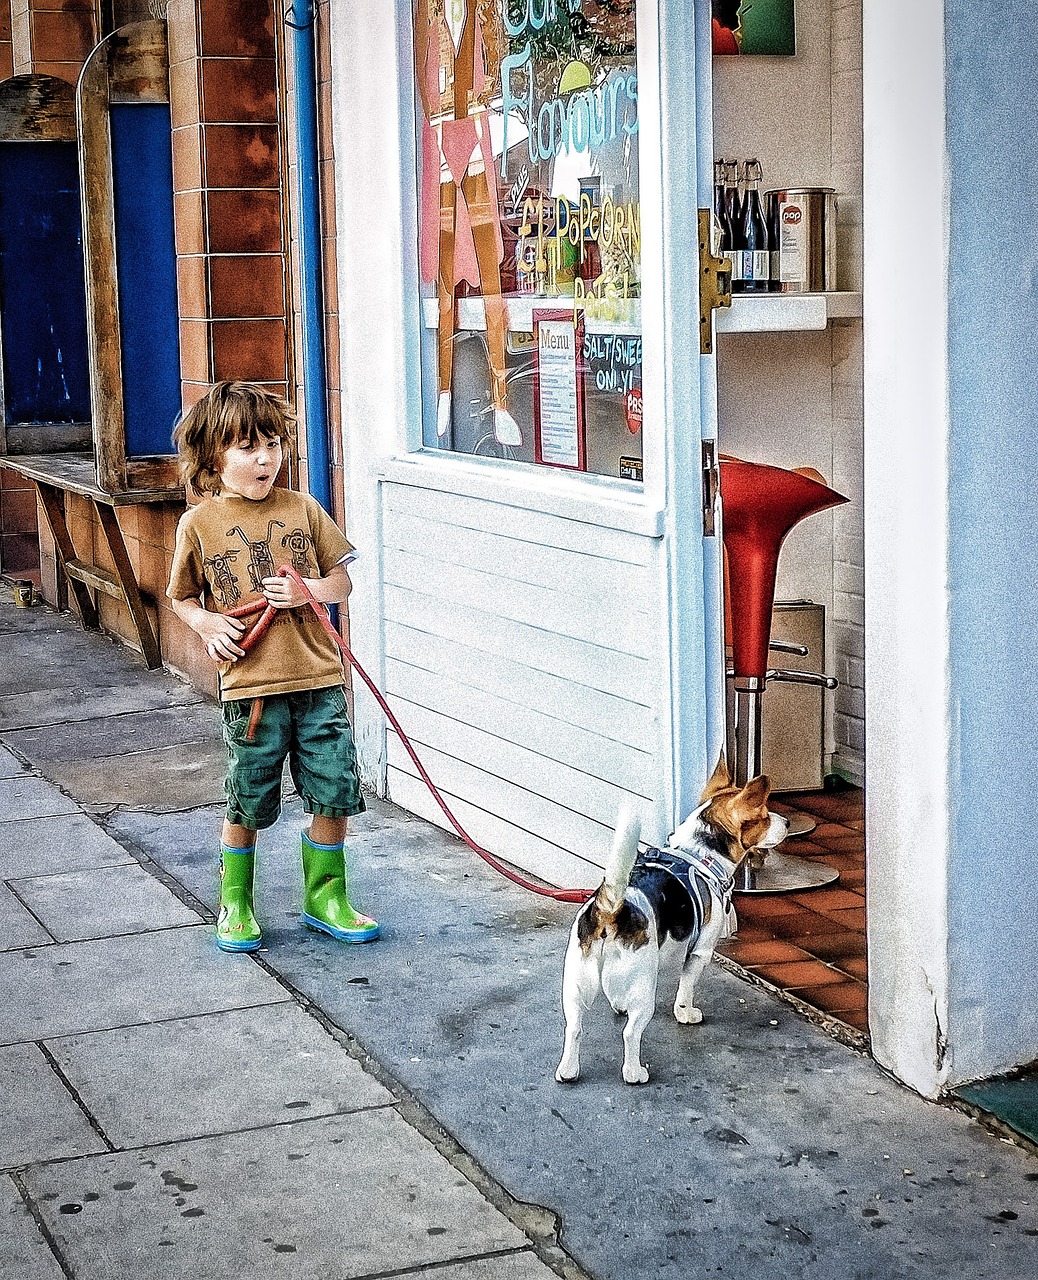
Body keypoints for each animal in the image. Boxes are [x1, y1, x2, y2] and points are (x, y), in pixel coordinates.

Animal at [560, 752, 788, 1085]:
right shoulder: (700, 952)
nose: (789, 822)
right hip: (644, 990)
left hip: (574, 987)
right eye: (764, 815)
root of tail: (610, 910)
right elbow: (686, 987)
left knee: (574, 1028)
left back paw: (568, 1070)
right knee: (631, 1033)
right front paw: (685, 1013)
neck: (699, 854)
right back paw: (634, 1072)